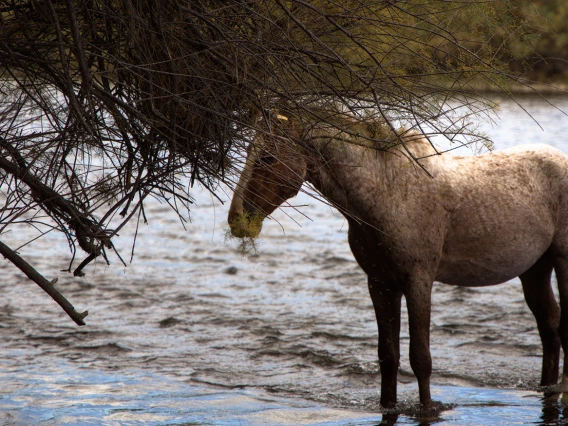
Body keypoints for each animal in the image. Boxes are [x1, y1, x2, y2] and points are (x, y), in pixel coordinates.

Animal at [229, 113, 568, 410]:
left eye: (268, 157)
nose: (236, 220)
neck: (387, 192)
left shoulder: (418, 280)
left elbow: (420, 357)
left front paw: (428, 407)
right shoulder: (380, 283)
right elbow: (388, 356)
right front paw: (388, 405)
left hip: (561, 259)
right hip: (534, 268)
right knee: (549, 325)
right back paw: (547, 388)